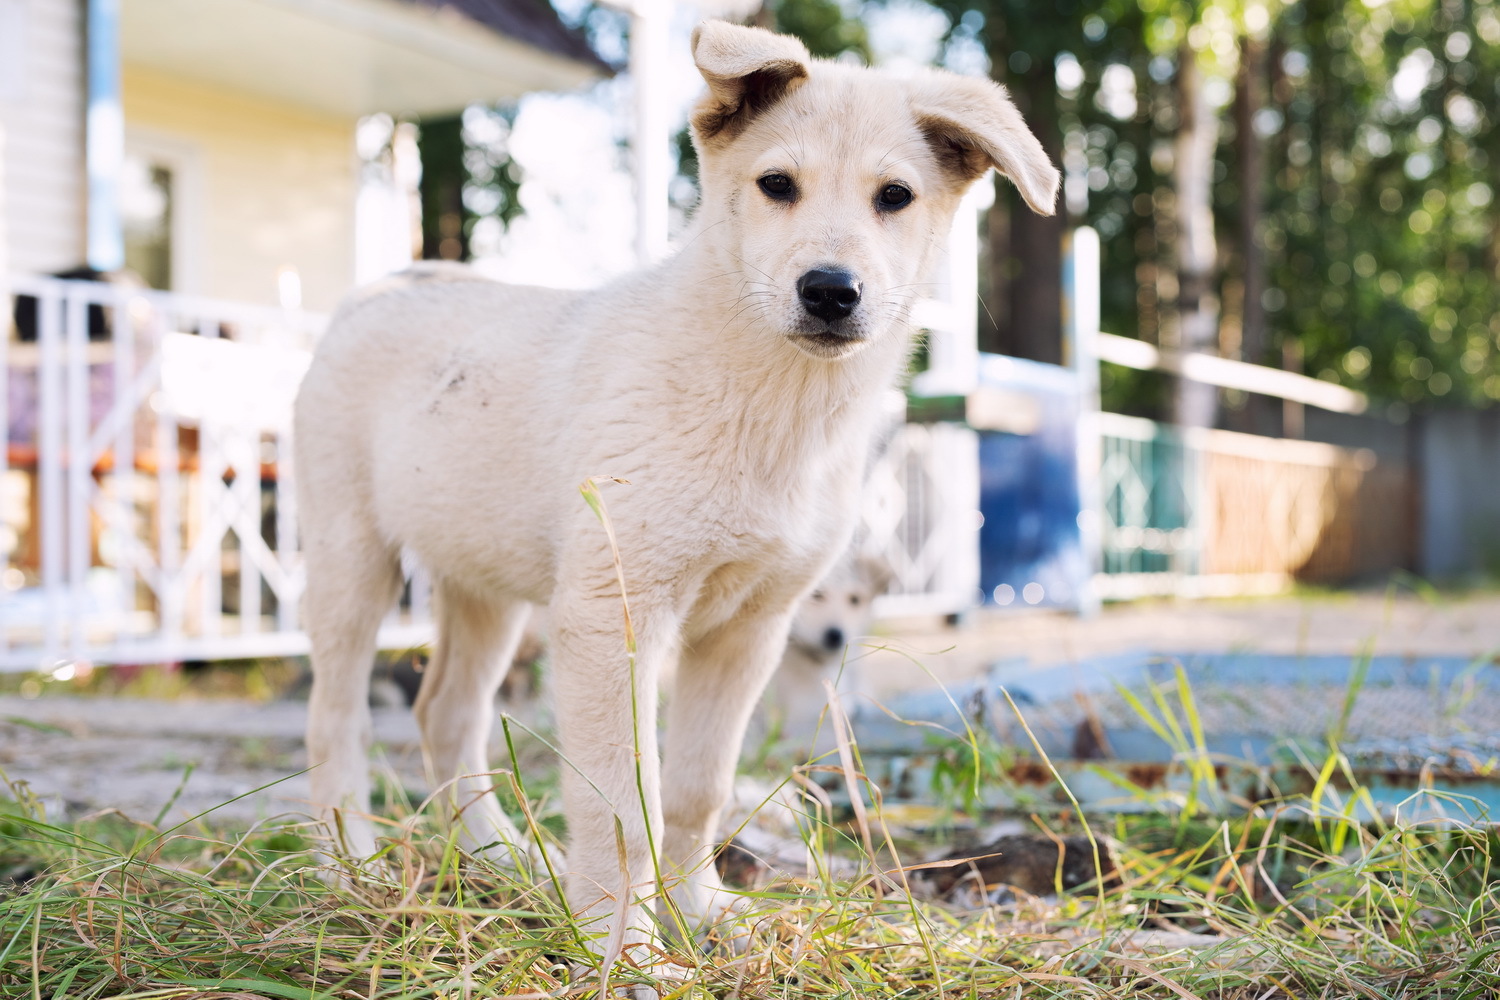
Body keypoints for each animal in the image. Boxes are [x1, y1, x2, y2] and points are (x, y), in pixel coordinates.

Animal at [292, 21, 1056, 977]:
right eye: (776, 185)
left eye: (895, 197)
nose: (830, 291)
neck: (770, 407)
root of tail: (381, 287)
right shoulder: (612, 616)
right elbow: (624, 805)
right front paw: (627, 954)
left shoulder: (749, 629)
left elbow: (697, 790)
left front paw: (704, 913)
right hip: (351, 560)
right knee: (336, 721)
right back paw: (348, 869)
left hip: (485, 583)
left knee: (446, 716)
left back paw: (504, 861)